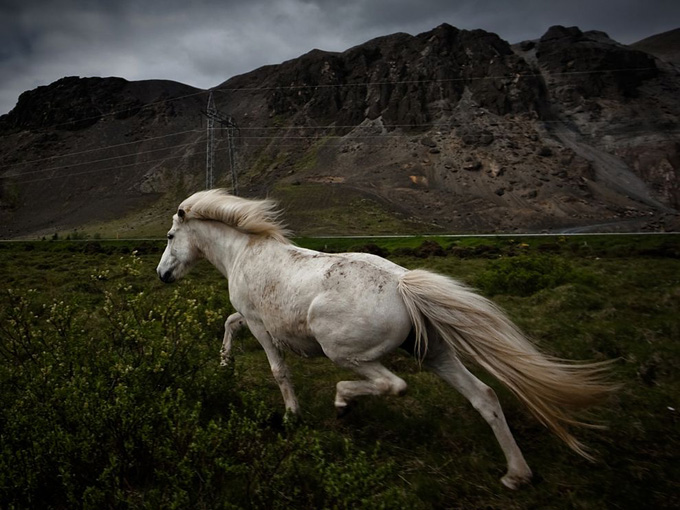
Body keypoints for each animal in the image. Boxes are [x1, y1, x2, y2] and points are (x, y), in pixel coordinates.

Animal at [157, 188, 612, 490]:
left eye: (169, 237)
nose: (162, 275)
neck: (245, 253)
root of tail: (403, 284)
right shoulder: (254, 321)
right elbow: (229, 325)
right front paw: (224, 365)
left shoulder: (261, 325)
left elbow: (277, 369)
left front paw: (291, 416)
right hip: (434, 354)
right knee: (484, 396)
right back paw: (517, 474)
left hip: (344, 352)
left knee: (393, 384)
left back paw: (343, 403)